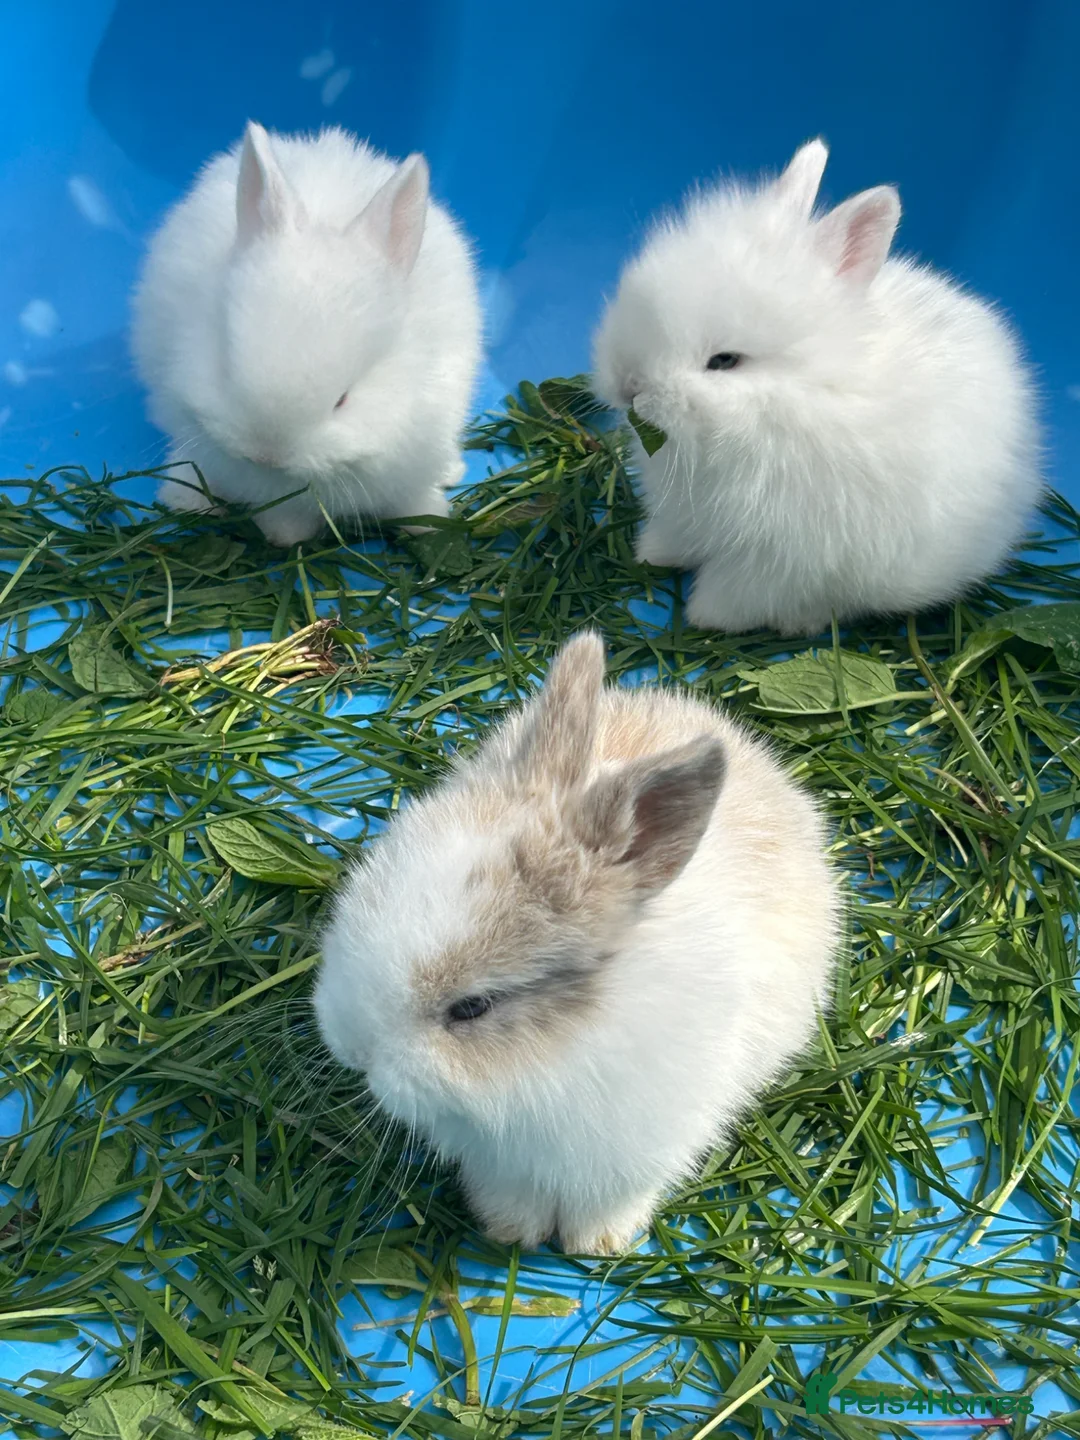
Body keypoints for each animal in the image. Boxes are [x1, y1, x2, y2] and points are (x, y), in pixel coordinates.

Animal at [131, 122, 482, 547]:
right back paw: (186, 499)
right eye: (226, 368)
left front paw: (428, 523)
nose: (266, 454)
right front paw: (284, 537)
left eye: (342, 400)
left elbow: (411, 497)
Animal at [315, 632, 839, 1255]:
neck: (554, 1057)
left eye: (472, 1007)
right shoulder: (501, 1164)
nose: (352, 1051)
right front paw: (512, 1233)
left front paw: (599, 1245)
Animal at [592, 139, 1042, 637]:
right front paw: (650, 554)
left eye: (724, 361)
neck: (792, 398)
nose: (629, 386)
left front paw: (704, 617)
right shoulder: (686, 515)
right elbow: (677, 537)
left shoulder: (779, 557)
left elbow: (737, 592)